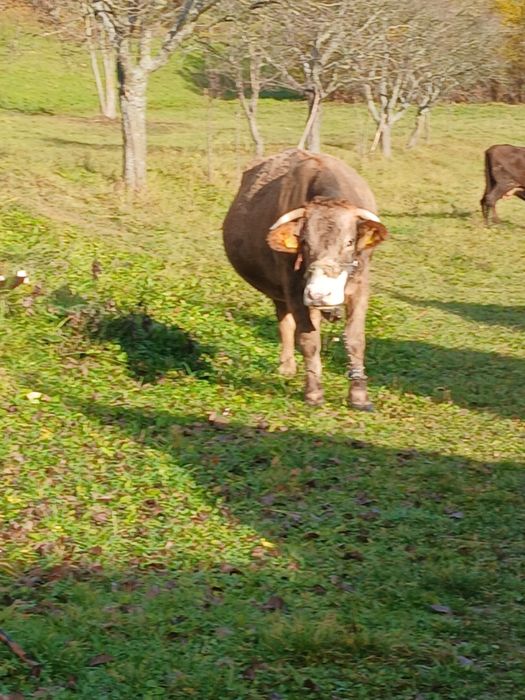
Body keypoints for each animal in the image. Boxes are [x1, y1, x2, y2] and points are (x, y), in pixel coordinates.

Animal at [222, 148, 388, 410]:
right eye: (304, 242)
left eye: (350, 242)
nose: (320, 294)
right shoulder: (295, 289)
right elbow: (308, 339)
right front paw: (313, 393)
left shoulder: (360, 286)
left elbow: (355, 339)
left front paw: (359, 396)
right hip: (282, 292)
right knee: (286, 323)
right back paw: (287, 366)